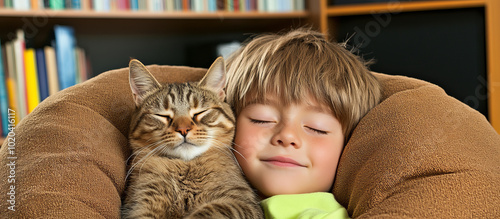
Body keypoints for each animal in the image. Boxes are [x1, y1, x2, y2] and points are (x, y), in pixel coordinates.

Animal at [122, 58, 262, 219]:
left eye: (200, 112)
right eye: (162, 115)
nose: (183, 129)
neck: (186, 167)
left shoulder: (243, 202)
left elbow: (211, 210)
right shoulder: (140, 203)